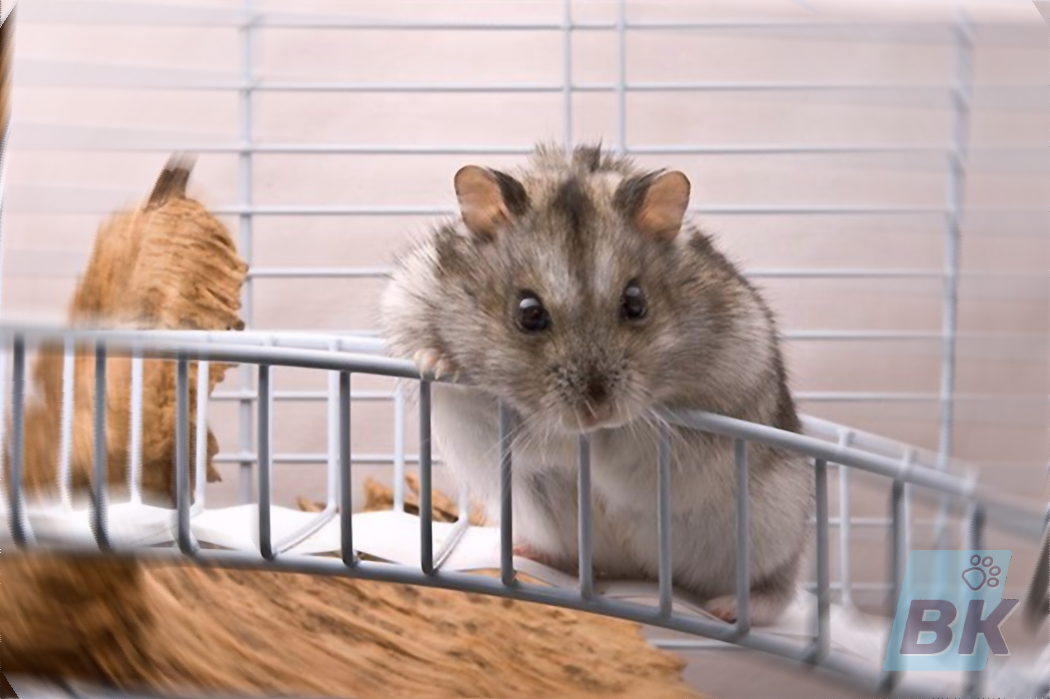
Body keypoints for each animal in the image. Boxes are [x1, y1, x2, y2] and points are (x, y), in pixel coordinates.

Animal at [381, 144, 812, 625]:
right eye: (528, 312)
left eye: (636, 303)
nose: (597, 412)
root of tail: (639, 572)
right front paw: (436, 362)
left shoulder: (733, 381)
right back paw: (527, 551)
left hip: (774, 530)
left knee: (780, 587)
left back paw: (731, 610)